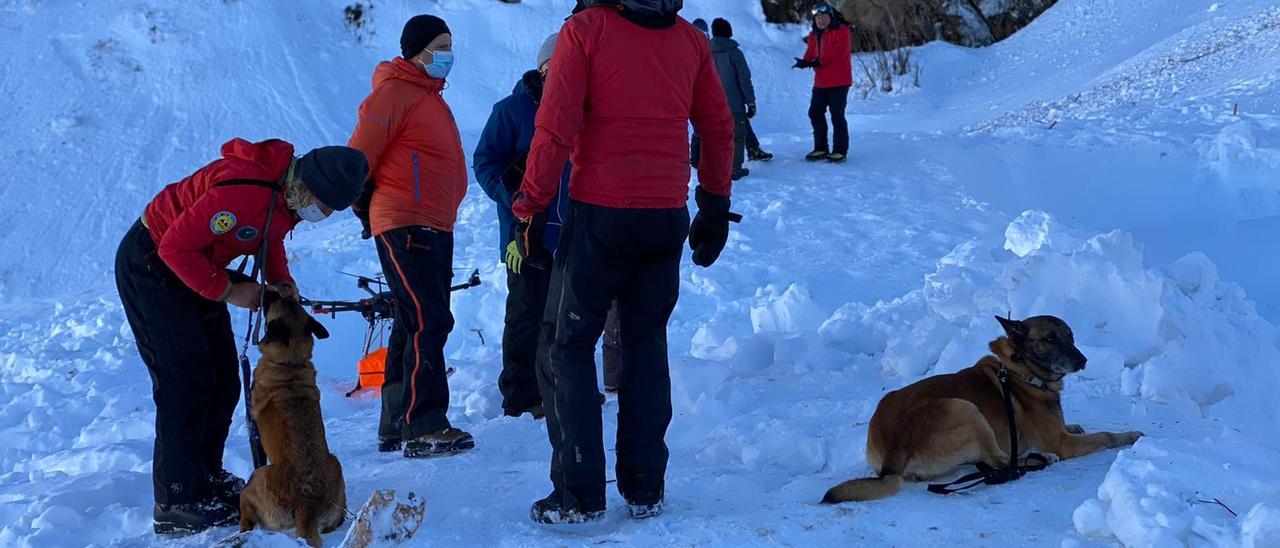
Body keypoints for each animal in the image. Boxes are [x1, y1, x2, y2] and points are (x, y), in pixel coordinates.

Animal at [240, 290, 348, 542]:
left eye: (272, 301)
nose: (267, 290)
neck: (290, 363)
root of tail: (308, 505)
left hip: (257, 478)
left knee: (246, 513)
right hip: (335, 464)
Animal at [824, 314, 1146, 501]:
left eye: (1071, 336)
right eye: (1049, 339)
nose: (1082, 360)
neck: (1020, 370)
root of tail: (894, 447)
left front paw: (1076, 424)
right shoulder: (1062, 442)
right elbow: (1104, 435)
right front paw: (1129, 436)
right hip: (965, 409)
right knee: (1003, 462)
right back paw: (1040, 458)